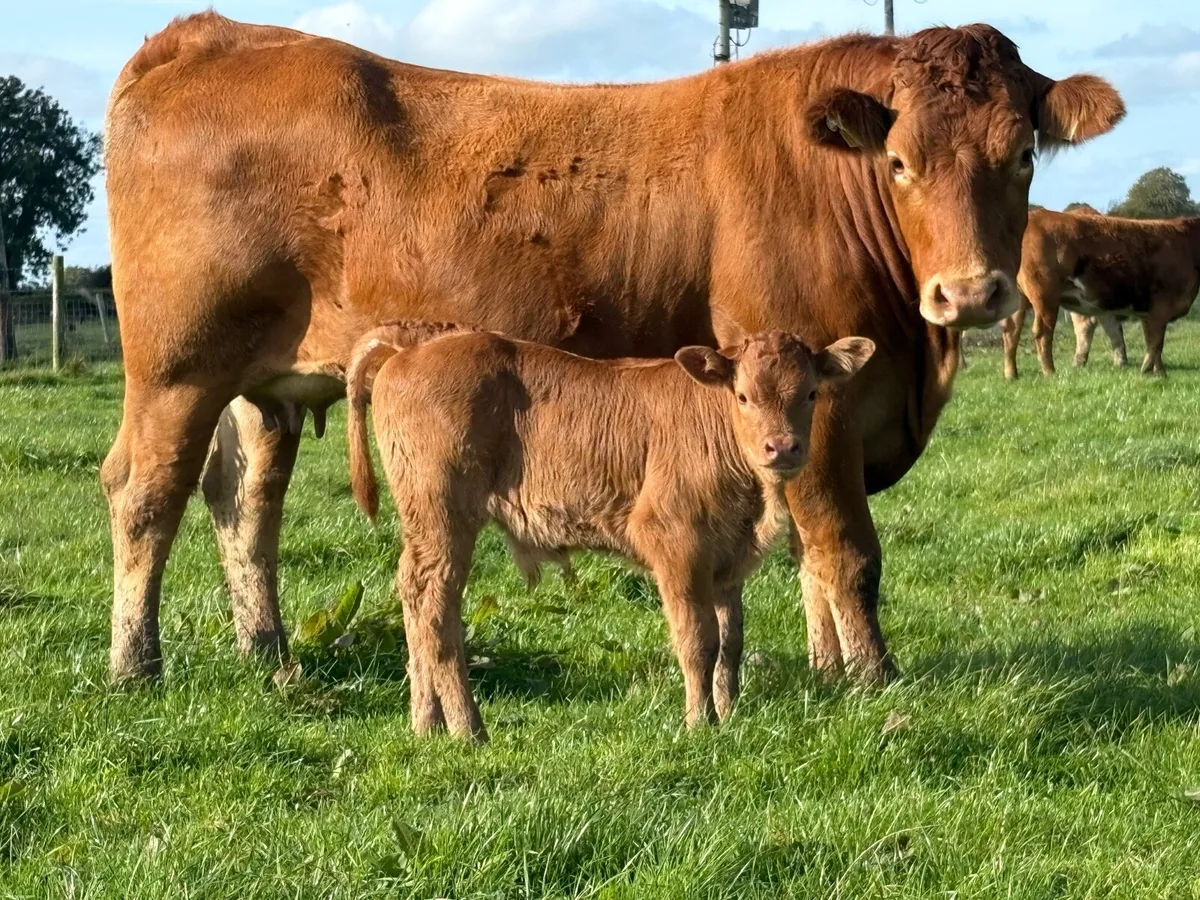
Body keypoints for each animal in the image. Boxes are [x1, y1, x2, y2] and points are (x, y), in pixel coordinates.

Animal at [101, 12, 1123, 687]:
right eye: (902, 162)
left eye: (1021, 158)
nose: (972, 293)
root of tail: (209, 32)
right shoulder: (823, 407)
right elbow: (844, 549)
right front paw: (874, 681)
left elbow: (801, 552)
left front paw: (825, 672)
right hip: (177, 371)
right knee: (146, 495)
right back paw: (135, 665)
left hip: (256, 384)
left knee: (244, 505)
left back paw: (267, 651)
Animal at [344, 321, 875, 739]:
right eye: (743, 395)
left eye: (810, 393)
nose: (782, 447)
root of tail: (418, 343)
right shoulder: (676, 544)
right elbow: (698, 640)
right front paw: (700, 723)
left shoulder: (726, 560)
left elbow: (730, 643)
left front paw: (728, 714)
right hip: (443, 515)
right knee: (436, 605)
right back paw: (468, 728)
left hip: (426, 523)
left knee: (415, 599)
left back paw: (426, 723)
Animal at [1002, 207, 1199, 379]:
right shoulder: (1161, 307)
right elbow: (1156, 342)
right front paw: (1147, 371)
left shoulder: (1148, 312)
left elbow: (1152, 341)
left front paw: (1159, 373)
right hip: (1045, 297)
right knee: (1043, 332)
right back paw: (1050, 372)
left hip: (1020, 299)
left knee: (1011, 331)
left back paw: (1011, 375)